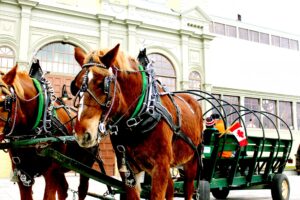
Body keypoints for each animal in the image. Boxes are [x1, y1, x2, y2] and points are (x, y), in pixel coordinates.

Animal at [0, 65, 96, 200]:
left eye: (4, 102)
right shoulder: (22, 173)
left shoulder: (52, 171)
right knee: (63, 189)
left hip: (86, 164)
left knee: (82, 189)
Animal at [71, 45, 203, 200]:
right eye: (75, 85)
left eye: (102, 84)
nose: (82, 133)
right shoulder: (128, 169)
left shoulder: (160, 167)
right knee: (171, 188)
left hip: (192, 161)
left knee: (189, 188)